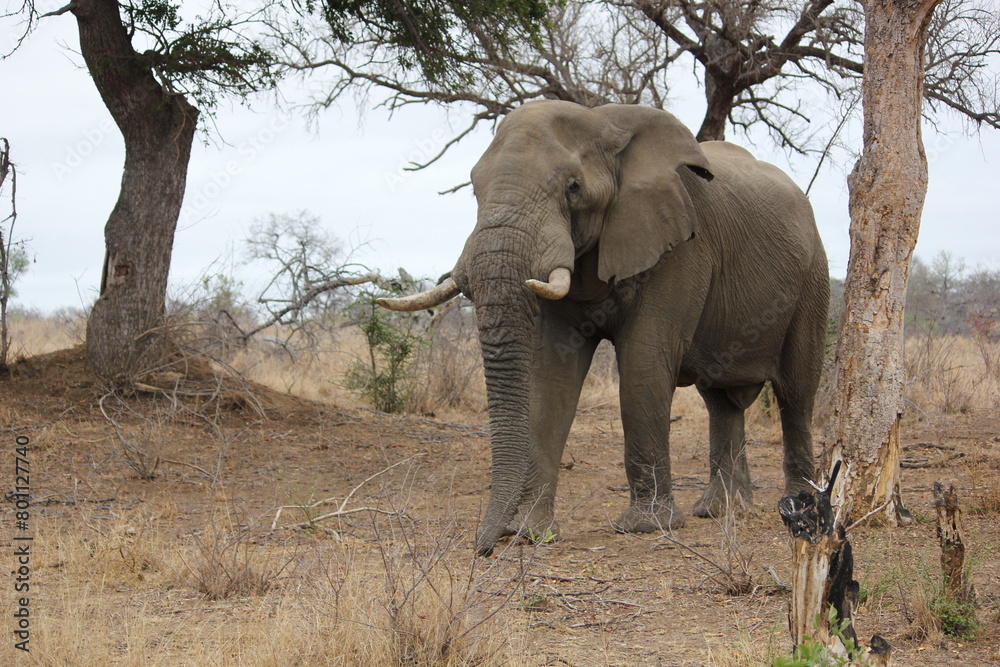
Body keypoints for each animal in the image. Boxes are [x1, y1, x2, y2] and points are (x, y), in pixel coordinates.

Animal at [379, 100, 829, 556]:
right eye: (473, 190)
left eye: (573, 188)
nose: (484, 547)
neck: (604, 124)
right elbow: (551, 375)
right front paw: (529, 533)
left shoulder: (682, 245)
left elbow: (643, 362)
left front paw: (646, 527)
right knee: (720, 399)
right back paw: (721, 511)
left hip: (814, 278)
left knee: (796, 393)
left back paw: (800, 509)